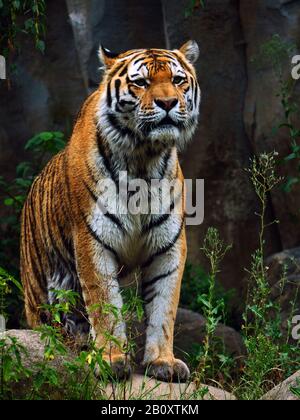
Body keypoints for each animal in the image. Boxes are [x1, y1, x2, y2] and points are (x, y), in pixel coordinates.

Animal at [19, 40, 200, 384]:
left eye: (178, 80)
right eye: (141, 82)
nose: (168, 102)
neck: (144, 156)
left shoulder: (169, 246)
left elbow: (163, 307)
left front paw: (163, 361)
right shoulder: (93, 241)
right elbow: (105, 305)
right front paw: (111, 360)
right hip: (39, 296)